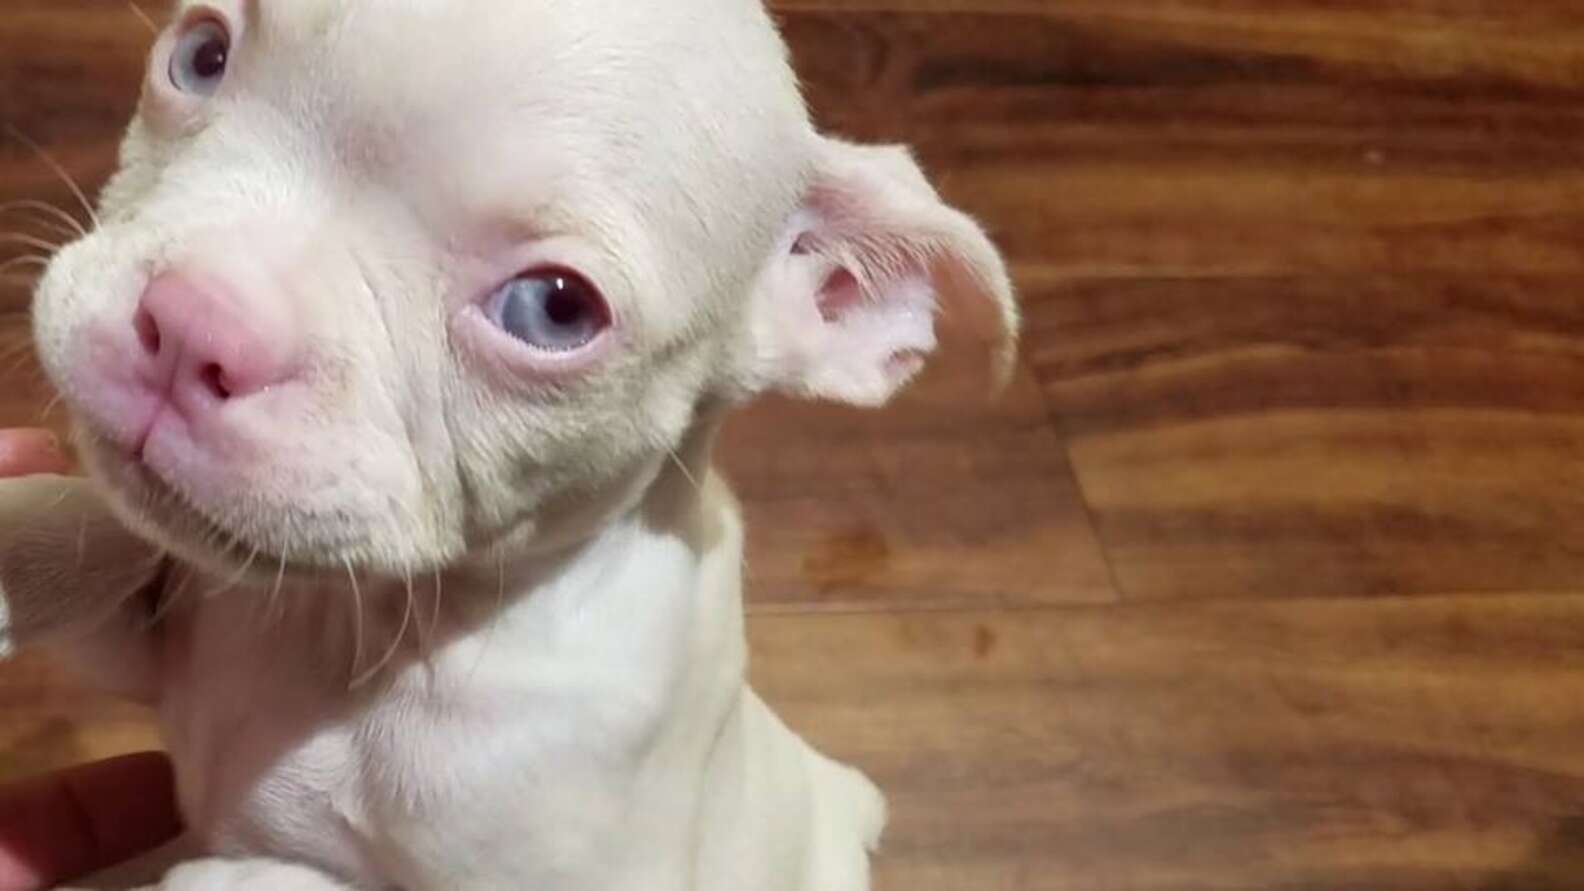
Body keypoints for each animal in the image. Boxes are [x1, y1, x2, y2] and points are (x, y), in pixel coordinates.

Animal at [0, 3, 1013, 881]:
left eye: (554, 309)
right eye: (201, 56)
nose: (193, 323)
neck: (370, 626)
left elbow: (279, 876)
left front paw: (222, 873)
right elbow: (102, 534)